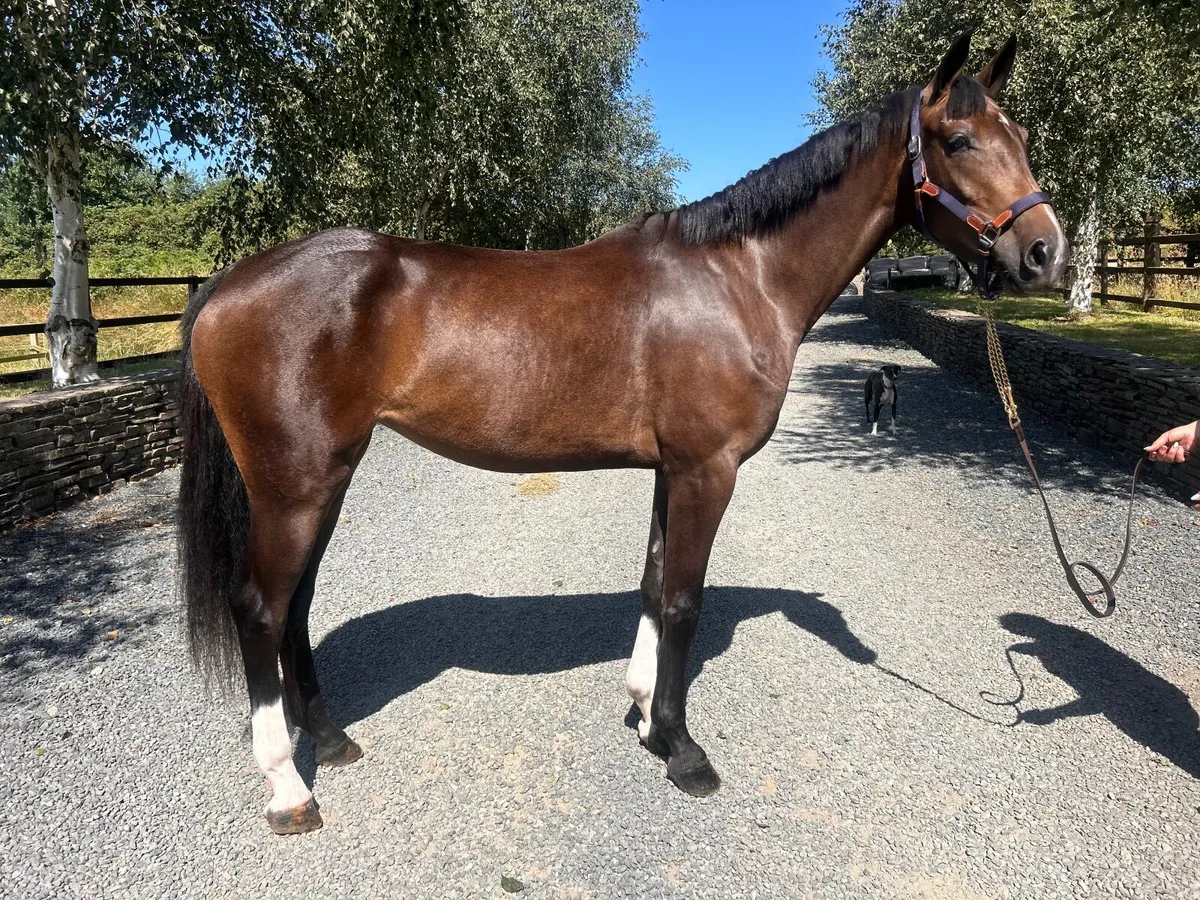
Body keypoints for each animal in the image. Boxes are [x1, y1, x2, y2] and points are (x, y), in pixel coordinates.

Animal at [178, 32, 1067, 834]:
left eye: (1022, 137)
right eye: (959, 140)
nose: (1043, 253)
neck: (737, 278)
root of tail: (229, 281)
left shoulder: (673, 469)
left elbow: (650, 584)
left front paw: (644, 716)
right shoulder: (709, 469)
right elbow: (682, 600)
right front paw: (684, 749)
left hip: (328, 475)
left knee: (296, 604)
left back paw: (329, 741)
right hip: (294, 483)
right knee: (261, 607)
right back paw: (288, 788)